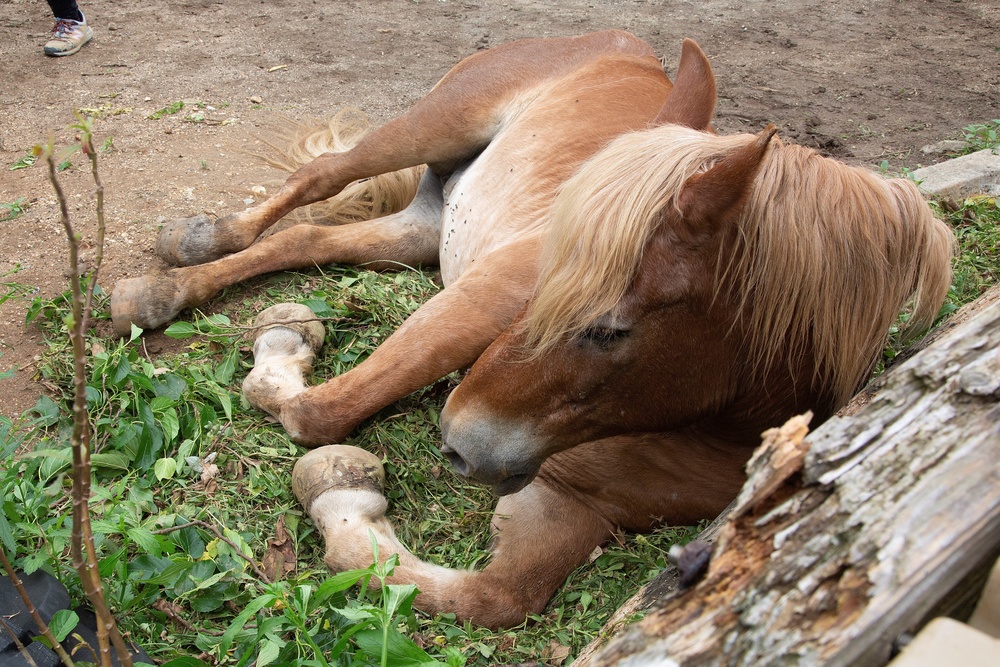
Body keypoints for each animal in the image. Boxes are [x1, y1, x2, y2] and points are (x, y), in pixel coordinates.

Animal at [109, 30, 952, 628]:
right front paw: (284, 380)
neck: (698, 421)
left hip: (424, 229)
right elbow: (319, 411)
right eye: (548, 300)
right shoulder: (485, 299)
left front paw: (342, 495)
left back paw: (185, 290)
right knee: (319, 179)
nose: (457, 446)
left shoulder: (570, 501)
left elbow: (496, 595)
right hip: (433, 125)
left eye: (609, 330)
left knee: (309, 238)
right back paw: (180, 257)